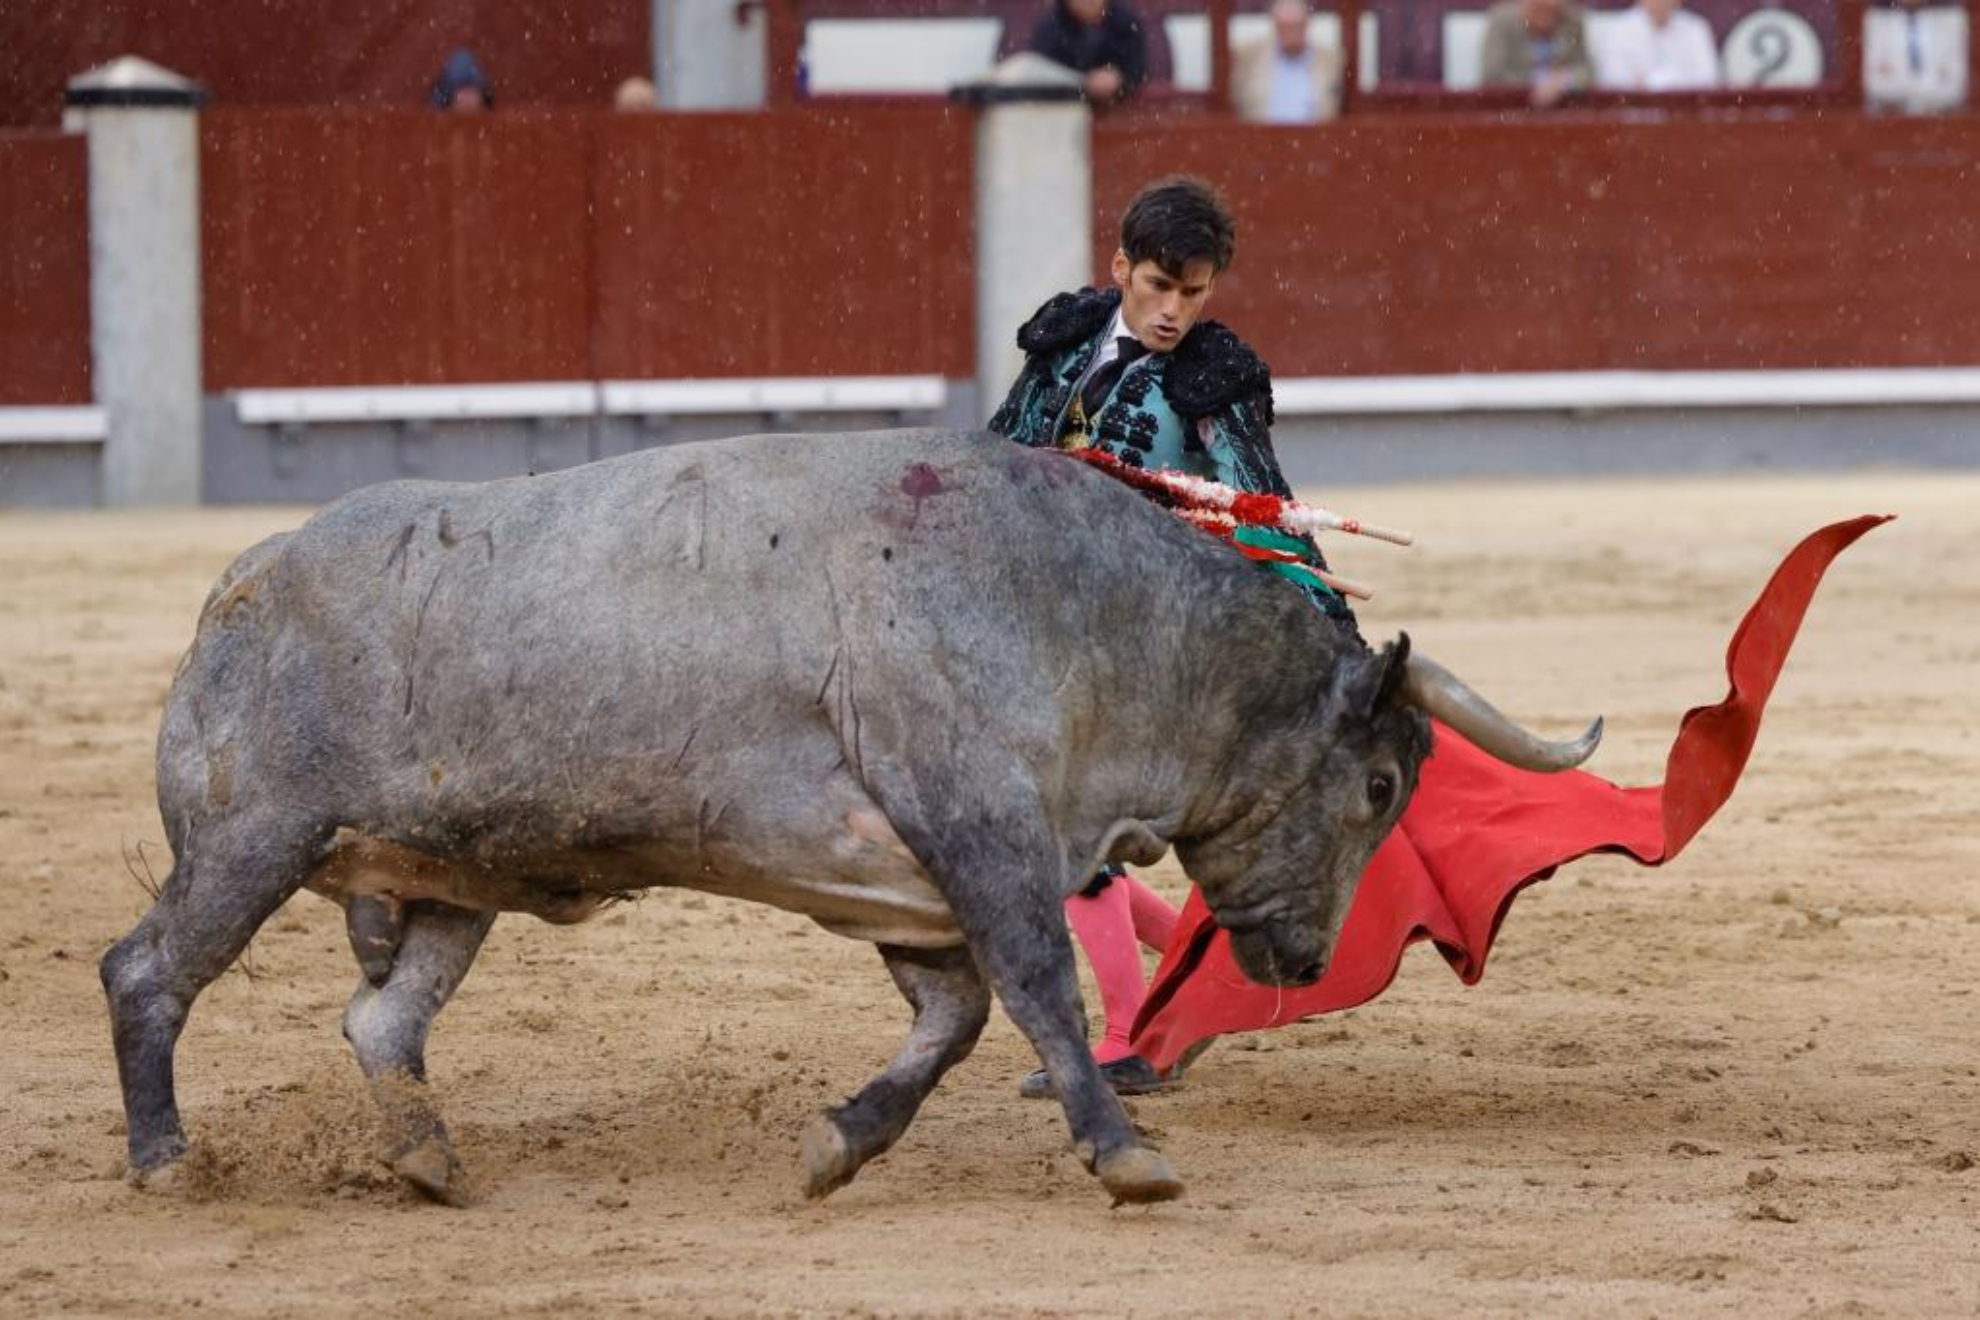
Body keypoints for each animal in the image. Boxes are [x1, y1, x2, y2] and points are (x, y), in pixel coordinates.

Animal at [100, 431, 1599, 1211]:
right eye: (1382, 787)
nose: (1302, 963)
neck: (1098, 619)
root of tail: (233, 586)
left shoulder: (910, 884)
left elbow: (956, 1020)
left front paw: (839, 1142)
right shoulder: (980, 826)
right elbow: (1039, 990)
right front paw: (1125, 1154)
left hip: (451, 882)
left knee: (381, 1019)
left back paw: (426, 1159)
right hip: (250, 842)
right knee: (146, 971)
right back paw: (168, 1162)